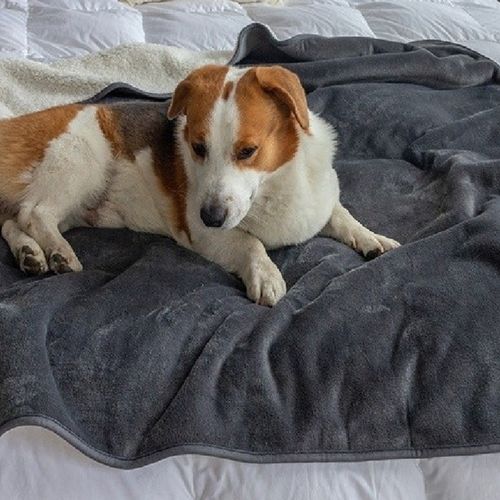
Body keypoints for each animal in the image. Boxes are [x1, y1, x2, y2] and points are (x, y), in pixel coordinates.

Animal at [0, 65, 399, 306]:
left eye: (248, 151)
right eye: (197, 147)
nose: (210, 216)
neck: (274, 186)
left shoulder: (319, 205)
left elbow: (343, 216)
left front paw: (372, 239)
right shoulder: (203, 234)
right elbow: (251, 242)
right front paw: (266, 274)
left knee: (12, 222)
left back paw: (31, 253)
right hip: (79, 160)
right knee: (35, 213)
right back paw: (58, 252)